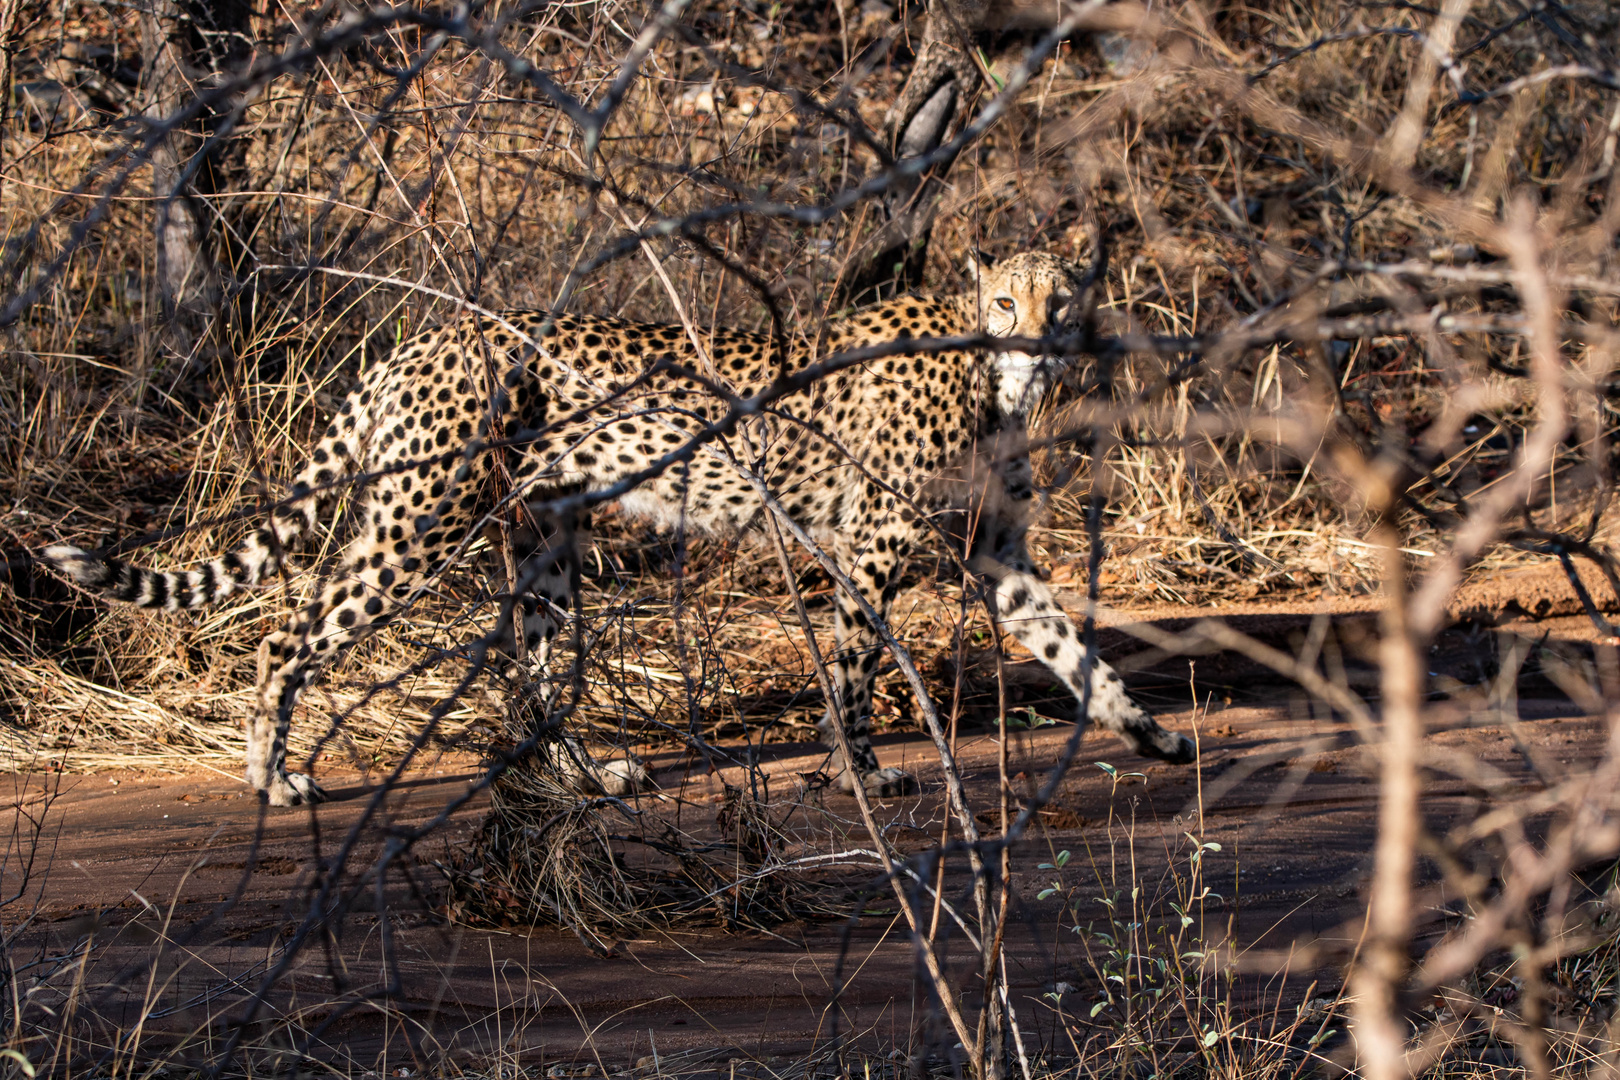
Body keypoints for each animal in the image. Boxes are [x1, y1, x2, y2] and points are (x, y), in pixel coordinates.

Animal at [44, 250, 1198, 803]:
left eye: (1059, 297)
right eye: (1006, 301)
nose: (1041, 332)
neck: (995, 378)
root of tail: (424, 335)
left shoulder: (995, 550)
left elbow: (1072, 646)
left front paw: (1148, 732)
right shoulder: (869, 546)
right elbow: (857, 667)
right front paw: (858, 772)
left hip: (542, 542)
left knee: (531, 672)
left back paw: (587, 778)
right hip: (421, 523)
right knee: (292, 633)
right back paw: (269, 776)